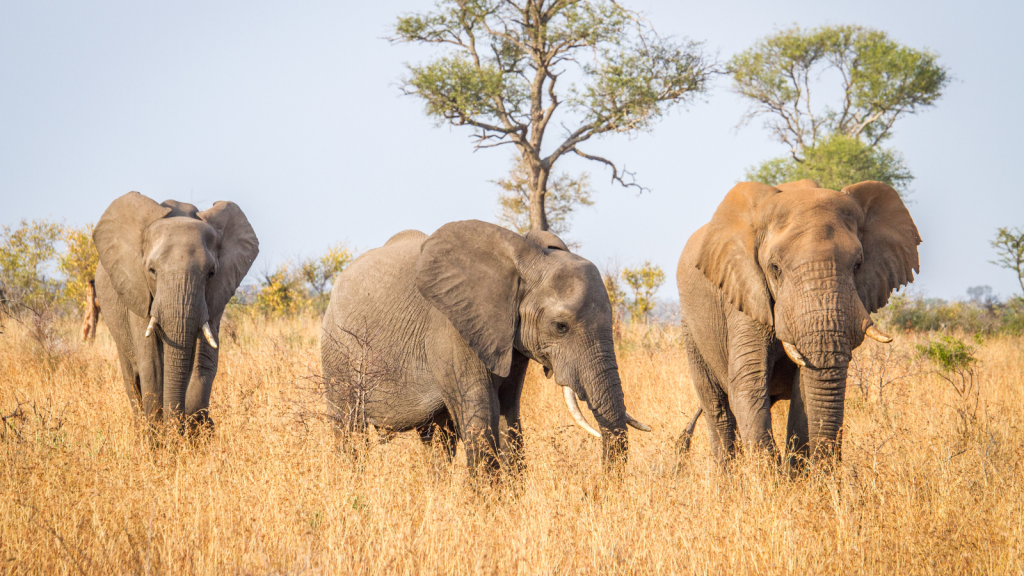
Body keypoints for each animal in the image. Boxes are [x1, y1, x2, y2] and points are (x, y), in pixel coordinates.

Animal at [94, 191, 258, 430]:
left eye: (211, 273)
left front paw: (195, 428)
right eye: (151, 270)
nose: (175, 425)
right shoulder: (137, 290)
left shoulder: (214, 296)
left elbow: (203, 361)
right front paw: (160, 434)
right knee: (131, 377)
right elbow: (151, 365)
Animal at [321, 218, 647, 471]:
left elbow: (508, 415)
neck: (525, 259)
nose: (599, 489)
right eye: (560, 327)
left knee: (437, 439)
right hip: (337, 350)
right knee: (348, 427)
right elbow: (480, 417)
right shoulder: (451, 329)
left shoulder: (511, 340)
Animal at [679, 179, 921, 467]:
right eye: (775, 268)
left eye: (858, 265)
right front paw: (768, 475)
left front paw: (798, 474)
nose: (827, 468)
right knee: (717, 408)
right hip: (690, 327)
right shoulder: (745, 294)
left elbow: (803, 391)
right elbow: (748, 383)